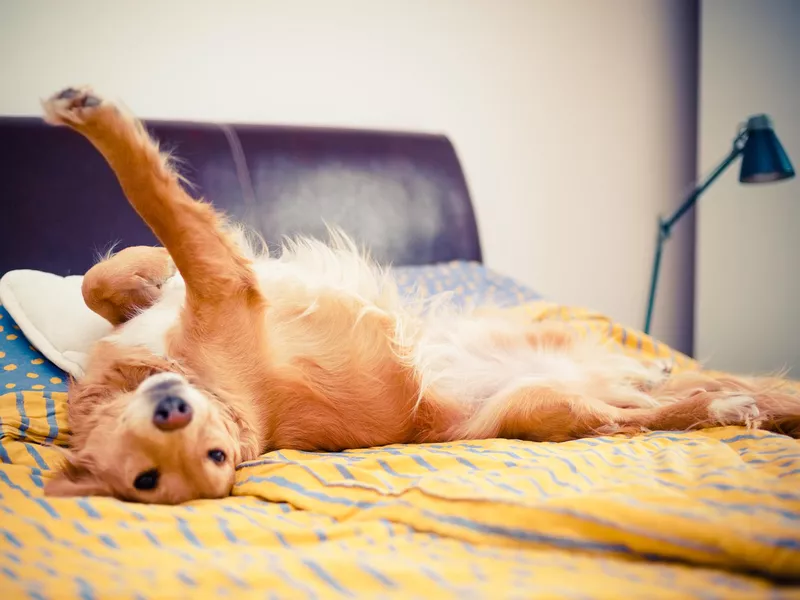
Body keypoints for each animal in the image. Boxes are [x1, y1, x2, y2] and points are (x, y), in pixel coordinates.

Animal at [39, 86, 800, 504]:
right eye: (149, 478)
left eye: (216, 455)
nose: (173, 409)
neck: (185, 372)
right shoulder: (224, 283)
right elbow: (151, 211)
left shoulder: (216, 279)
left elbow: (119, 257)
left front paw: (140, 263)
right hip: (554, 408)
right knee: (668, 409)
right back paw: (714, 403)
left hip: (530, 334)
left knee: (662, 382)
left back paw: (670, 372)